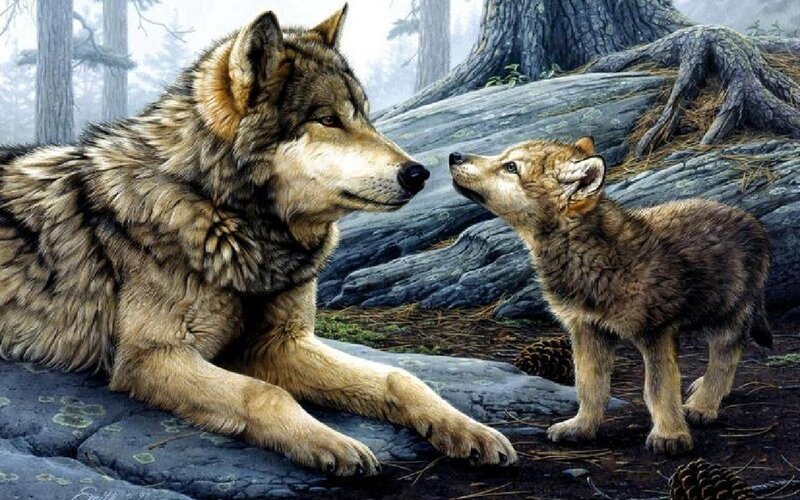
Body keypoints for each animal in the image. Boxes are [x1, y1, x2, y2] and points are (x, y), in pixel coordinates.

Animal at [0, 6, 517, 476]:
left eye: (366, 118)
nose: (419, 173)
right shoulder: (150, 357)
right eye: (327, 120)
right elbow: (265, 393)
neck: (228, 218)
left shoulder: (280, 343)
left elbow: (398, 377)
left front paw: (468, 429)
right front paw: (331, 443)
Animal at [449, 137, 772, 455]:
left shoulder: (656, 333)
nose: (454, 155)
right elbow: (589, 386)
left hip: (726, 315)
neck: (592, 254)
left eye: (511, 167)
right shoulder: (585, 329)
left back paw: (703, 405)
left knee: (726, 357)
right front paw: (580, 427)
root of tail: (749, 218)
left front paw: (670, 435)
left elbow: (659, 389)